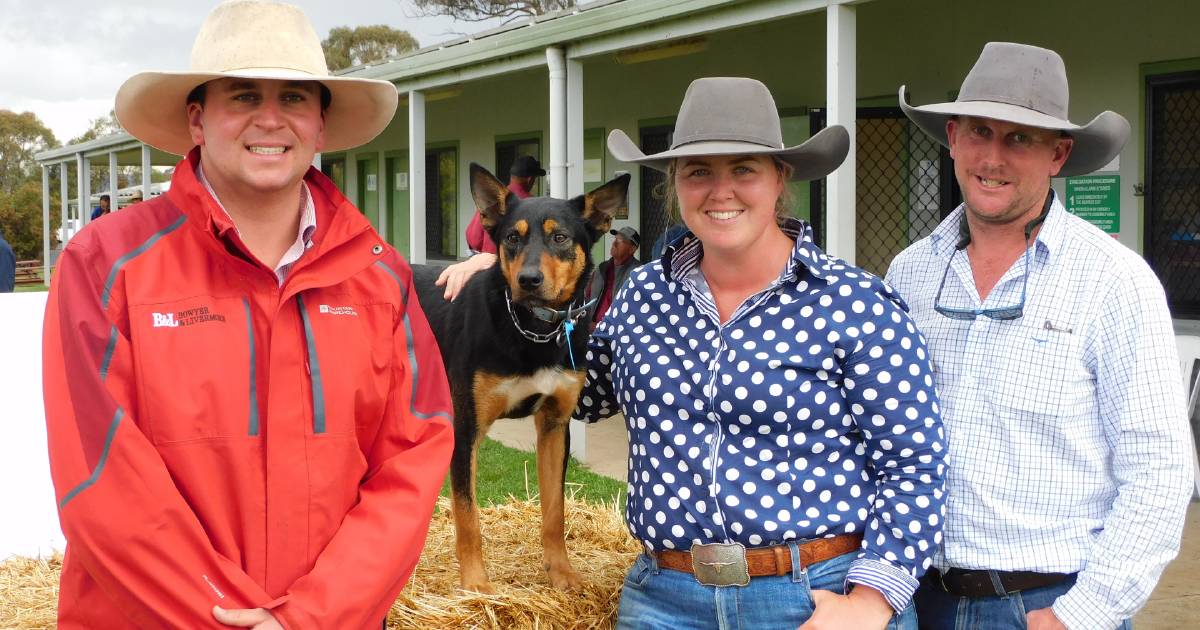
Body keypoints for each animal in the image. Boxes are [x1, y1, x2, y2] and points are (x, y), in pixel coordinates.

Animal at [415, 164, 628, 592]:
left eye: (560, 237)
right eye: (512, 237)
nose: (529, 280)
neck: (533, 330)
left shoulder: (555, 425)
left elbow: (555, 511)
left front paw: (561, 572)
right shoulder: (466, 427)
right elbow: (467, 513)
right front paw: (476, 584)